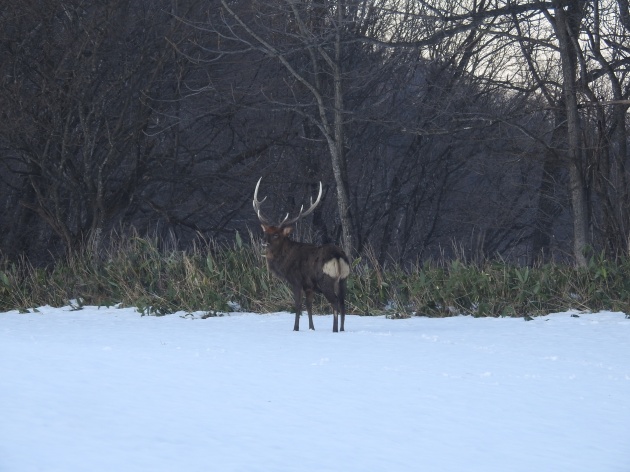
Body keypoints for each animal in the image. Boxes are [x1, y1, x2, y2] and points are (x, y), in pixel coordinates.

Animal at [256, 177, 354, 332]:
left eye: (276, 234)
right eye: (266, 232)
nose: (264, 242)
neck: (284, 263)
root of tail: (338, 256)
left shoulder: (297, 280)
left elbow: (297, 305)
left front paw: (295, 328)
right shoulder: (309, 286)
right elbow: (309, 306)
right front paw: (311, 328)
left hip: (326, 279)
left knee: (335, 303)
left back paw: (334, 329)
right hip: (344, 279)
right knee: (343, 303)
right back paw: (342, 329)